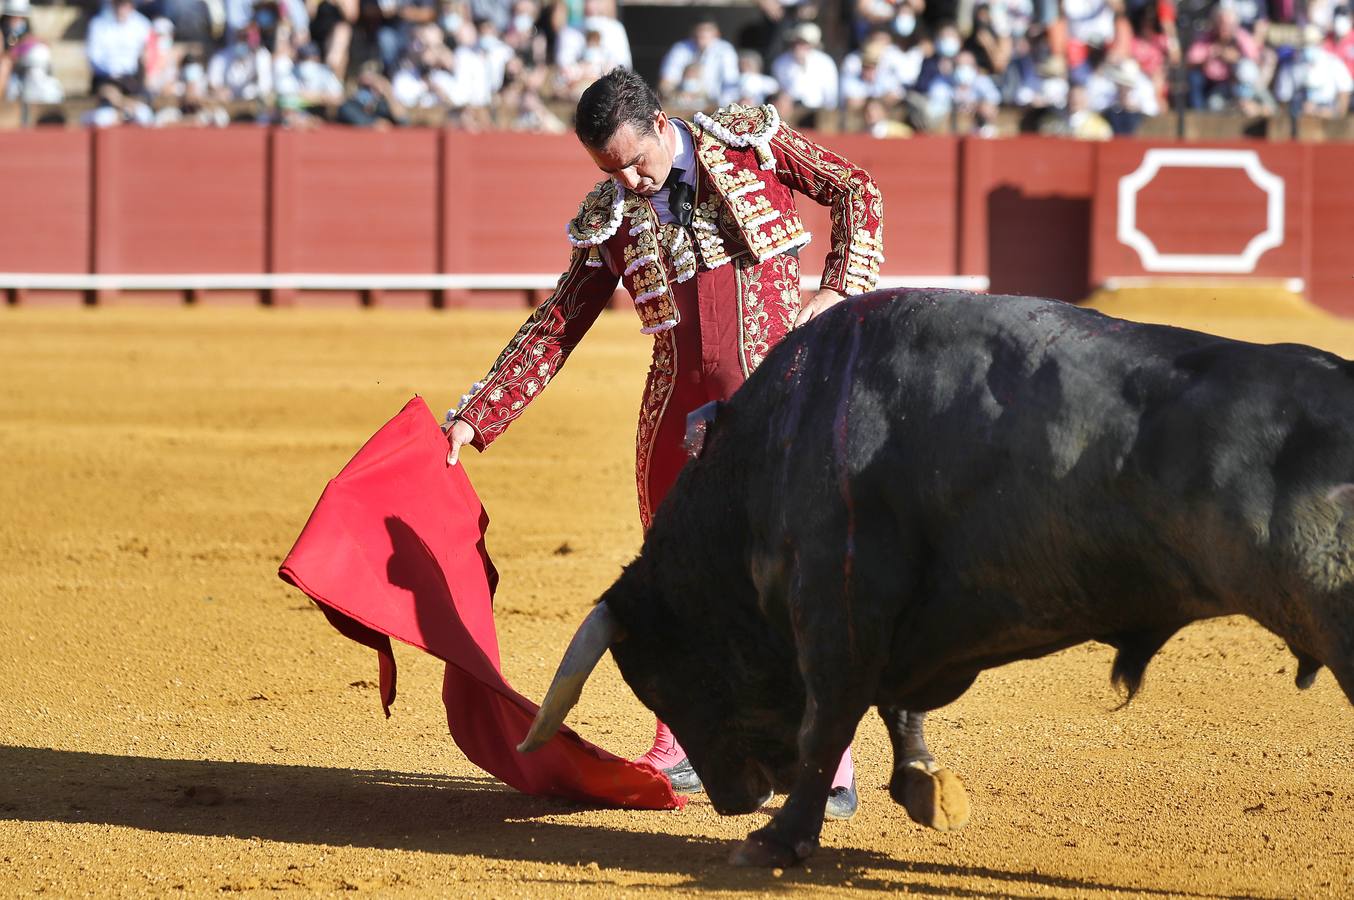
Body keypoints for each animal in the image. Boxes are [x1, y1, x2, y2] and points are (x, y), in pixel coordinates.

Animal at [514, 285, 1354, 866]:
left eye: (661, 677)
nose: (734, 800)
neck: (772, 449)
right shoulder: (897, 620)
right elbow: (894, 707)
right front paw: (926, 788)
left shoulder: (836, 601)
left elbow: (829, 717)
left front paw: (779, 841)